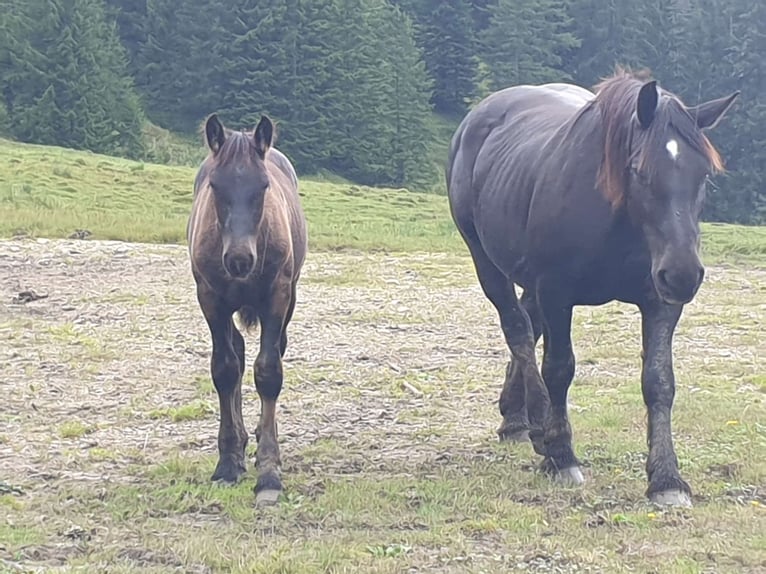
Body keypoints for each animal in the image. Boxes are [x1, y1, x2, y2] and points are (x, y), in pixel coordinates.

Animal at [448, 68, 740, 508]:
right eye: (639, 170)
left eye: (703, 173)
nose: (683, 275)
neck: (619, 222)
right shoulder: (556, 291)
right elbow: (559, 368)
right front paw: (561, 456)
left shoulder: (660, 301)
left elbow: (659, 382)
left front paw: (667, 479)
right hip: (488, 262)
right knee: (518, 330)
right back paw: (536, 425)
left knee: (527, 326)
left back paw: (517, 418)